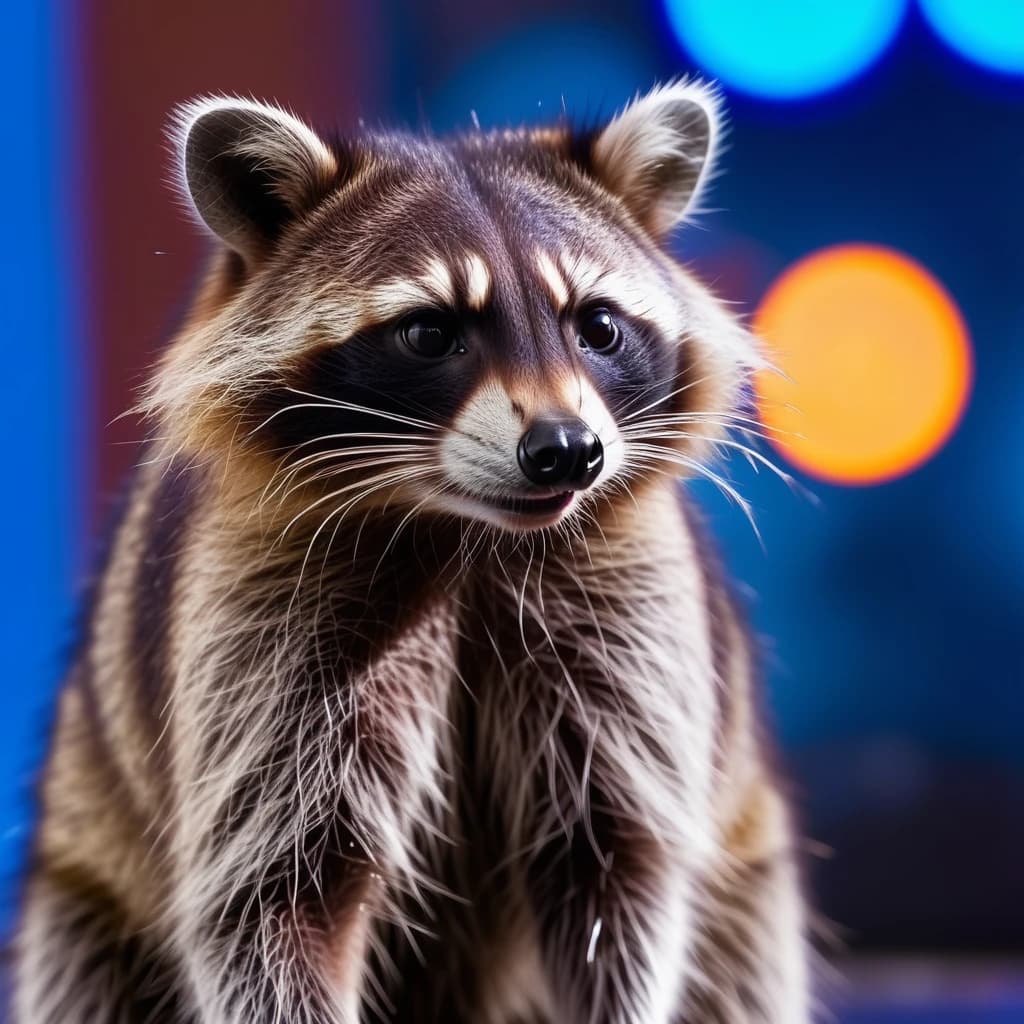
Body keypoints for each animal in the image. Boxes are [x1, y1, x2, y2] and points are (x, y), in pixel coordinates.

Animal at [12, 82, 810, 1023]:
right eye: (431, 333)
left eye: (598, 326)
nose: (567, 451)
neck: (470, 530)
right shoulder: (263, 618)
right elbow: (270, 900)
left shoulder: (626, 614)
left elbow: (617, 875)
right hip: (85, 887)